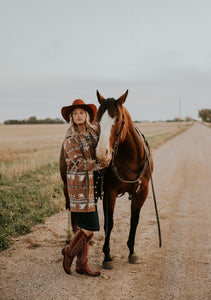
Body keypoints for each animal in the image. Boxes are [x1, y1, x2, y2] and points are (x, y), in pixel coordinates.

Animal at [95, 89, 153, 270]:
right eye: (97, 120)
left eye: (118, 119)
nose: (101, 153)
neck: (131, 158)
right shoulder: (110, 192)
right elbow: (109, 223)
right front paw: (107, 256)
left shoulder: (142, 192)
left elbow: (134, 220)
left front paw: (132, 252)